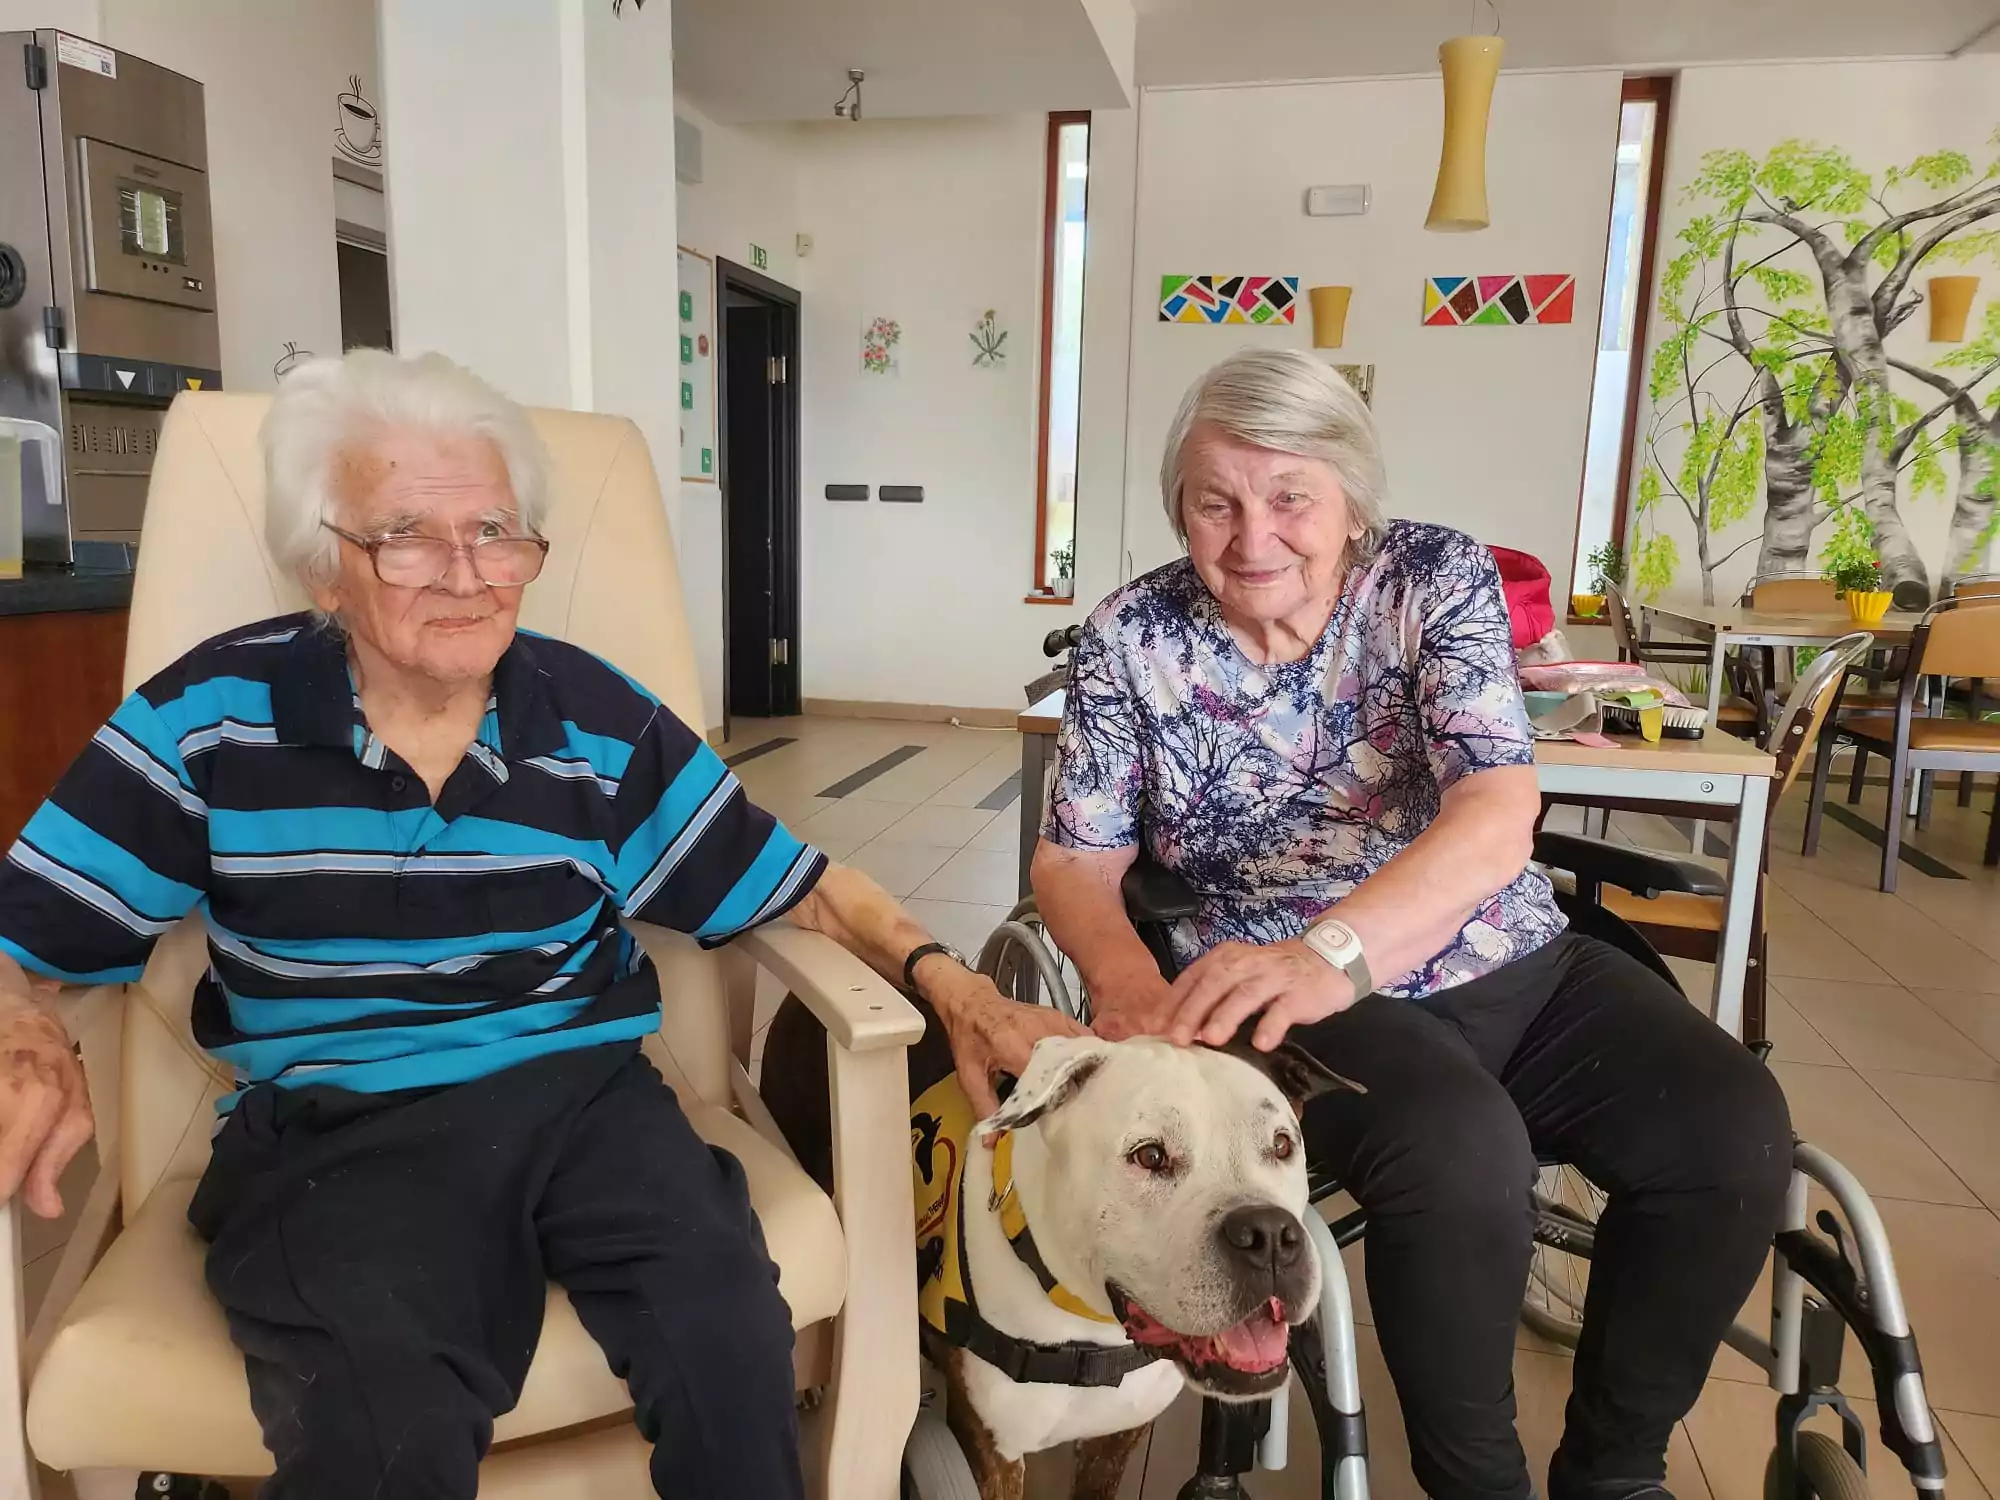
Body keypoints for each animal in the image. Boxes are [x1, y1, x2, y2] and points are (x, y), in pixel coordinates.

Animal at [763, 994, 1358, 1500]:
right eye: (1149, 1156)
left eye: (1282, 1144)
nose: (1270, 1237)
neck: (1088, 1322)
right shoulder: (992, 1454)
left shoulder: (1116, 1438)